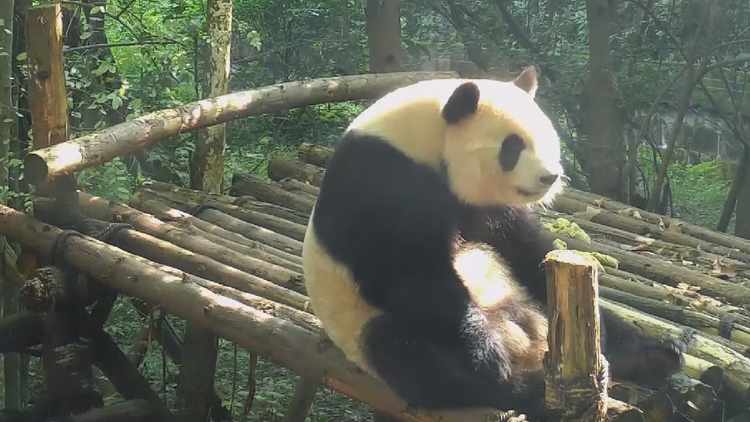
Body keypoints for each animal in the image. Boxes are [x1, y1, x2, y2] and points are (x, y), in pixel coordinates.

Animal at [301, 66, 685, 421]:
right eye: (513, 146)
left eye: (548, 139)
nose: (550, 176)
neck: (424, 138)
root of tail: (527, 345)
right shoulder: (378, 180)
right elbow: (404, 275)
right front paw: (485, 351)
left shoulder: (488, 207)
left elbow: (524, 249)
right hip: (360, 323)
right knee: (412, 356)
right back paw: (527, 387)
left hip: (518, 298)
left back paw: (652, 355)